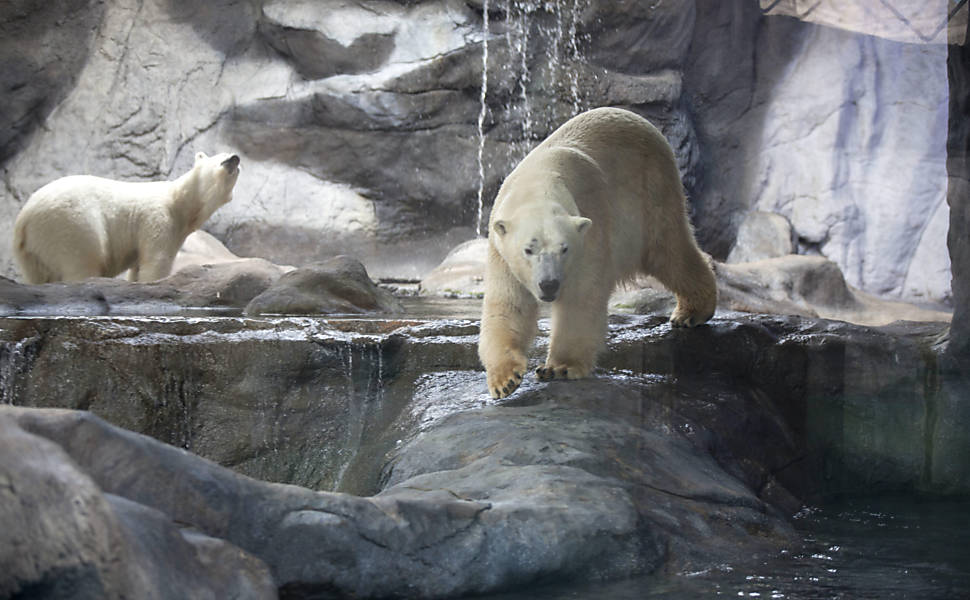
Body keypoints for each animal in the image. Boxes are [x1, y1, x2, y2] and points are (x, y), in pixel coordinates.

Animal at [12, 155, 240, 286]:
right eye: (224, 159)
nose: (236, 157)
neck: (180, 201)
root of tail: (24, 218)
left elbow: (137, 266)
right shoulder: (158, 218)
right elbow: (156, 260)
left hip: (32, 250)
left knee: (38, 275)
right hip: (70, 222)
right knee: (83, 259)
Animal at [478, 108, 716, 398]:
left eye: (564, 249)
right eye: (528, 249)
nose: (549, 285)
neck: (536, 183)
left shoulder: (591, 226)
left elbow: (581, 296)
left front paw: (559, 367)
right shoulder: (501, 251)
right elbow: (509, 305)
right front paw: (505, 380)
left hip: (652, 188)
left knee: (668, 251)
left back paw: (691, 312)